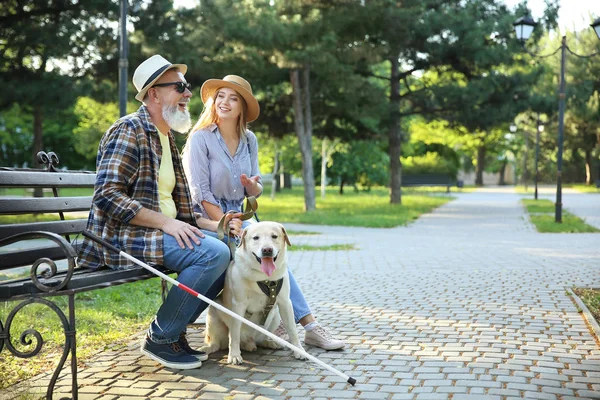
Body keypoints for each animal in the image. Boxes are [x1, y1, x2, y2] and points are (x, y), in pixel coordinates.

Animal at [203, 220, 308, 364]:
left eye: (274, 236)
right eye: (256, 238)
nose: (267, 250)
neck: (263, 277)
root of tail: (249, 342)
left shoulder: (285, 302)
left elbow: (292, 329)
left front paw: (299, 350)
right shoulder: (238, 305)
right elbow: (234, 334)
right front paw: (234, 355)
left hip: (275, 317)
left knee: (260, 339)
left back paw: (270, 342)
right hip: (213, 313)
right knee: (218, 342)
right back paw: (207, 348)